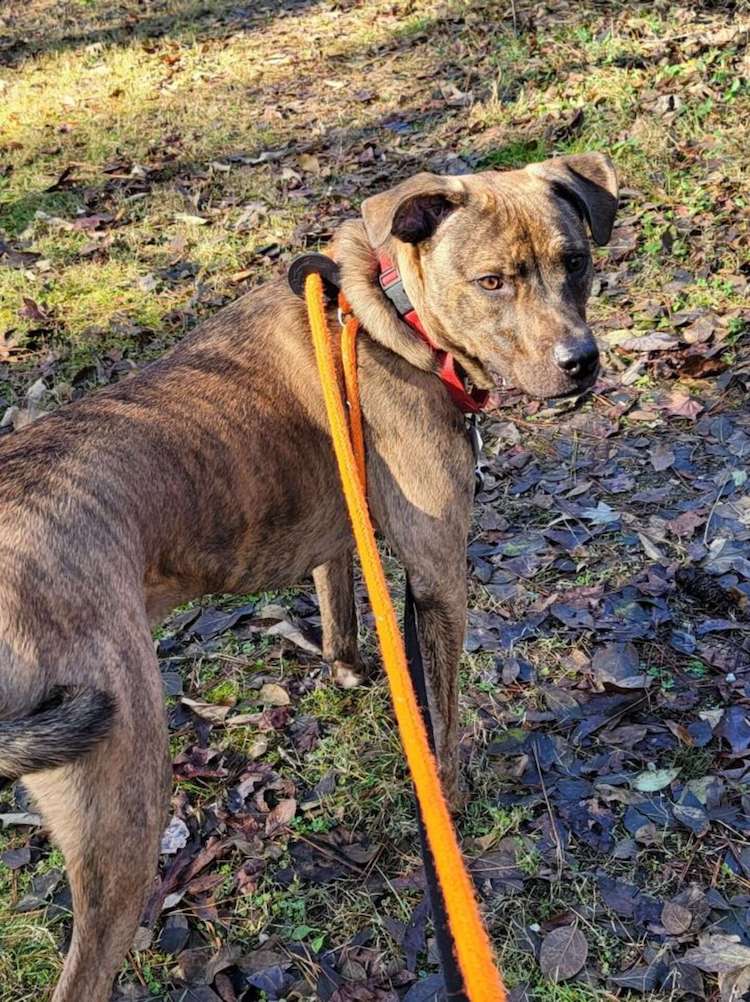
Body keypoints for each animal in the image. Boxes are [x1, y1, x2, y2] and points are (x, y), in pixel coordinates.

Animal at [0, 152, 612, 997]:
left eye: (575, 262)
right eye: (492, 282)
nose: (581, 364)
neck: (386, 317)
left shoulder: (338, 531)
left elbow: (339, 615)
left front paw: (349, 672)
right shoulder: (438, 575)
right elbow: (443, 719)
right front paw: (452, 801)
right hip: (122, 810)